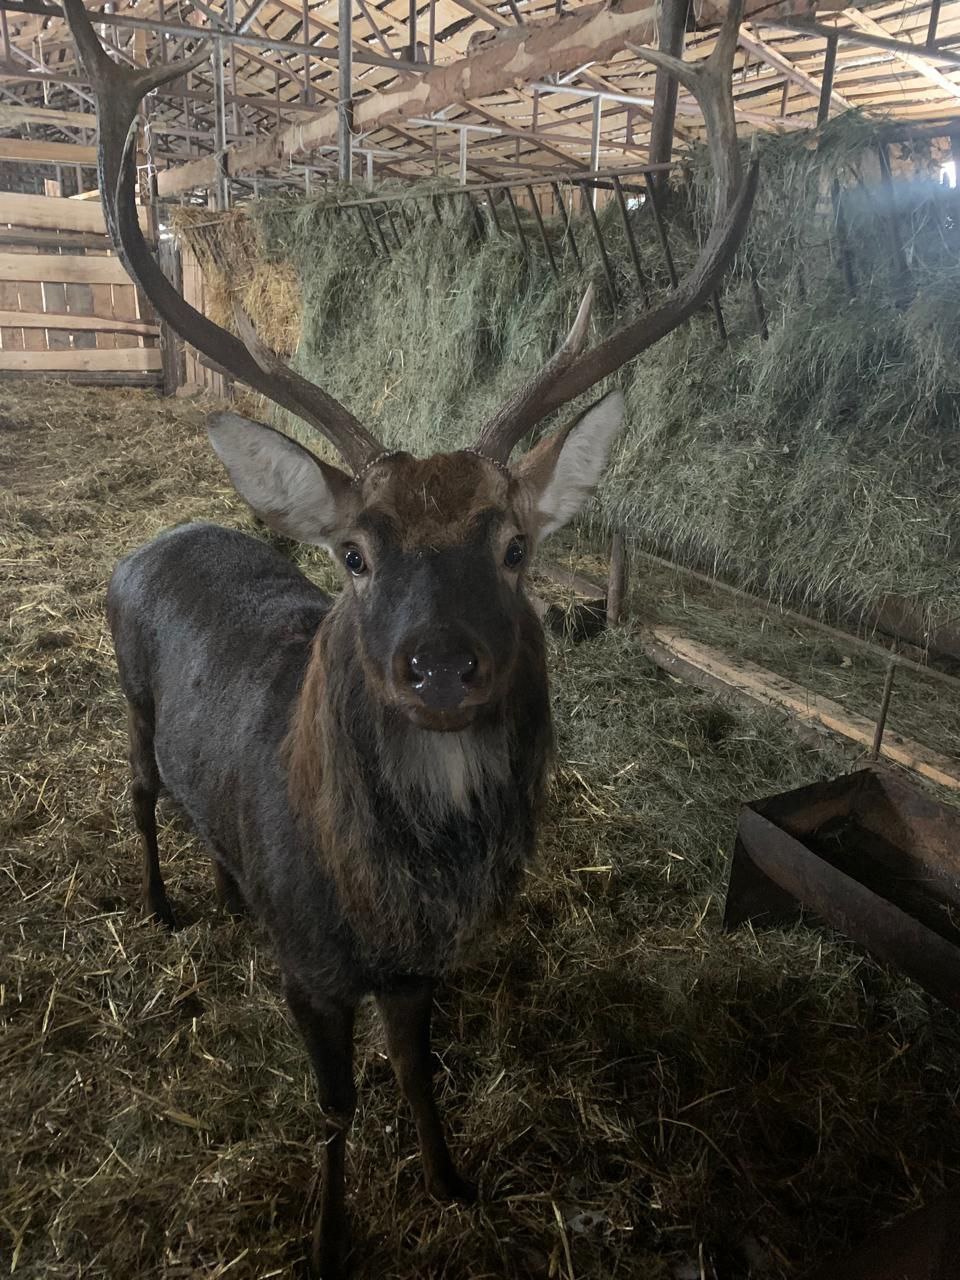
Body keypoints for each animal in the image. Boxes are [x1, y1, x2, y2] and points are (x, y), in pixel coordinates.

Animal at [65, 0, 757, 1269]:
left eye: (515, 546)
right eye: (355, 552)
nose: (441, 662)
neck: (391, 898)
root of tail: (160, 532)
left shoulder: (420, 968)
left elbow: (422, 1070)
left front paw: (451, 1178)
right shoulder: (314, 971)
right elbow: (338, 1103)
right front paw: (333, 1232)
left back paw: (224, 890)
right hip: (127, 694)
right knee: (138, 792)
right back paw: (165, 903)